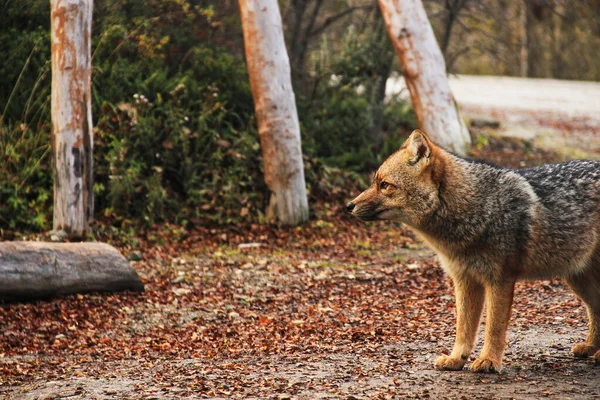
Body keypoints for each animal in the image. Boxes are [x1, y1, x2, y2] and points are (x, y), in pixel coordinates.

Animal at [346, 130, 600, 372]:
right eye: (375, 182)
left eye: (385, 185)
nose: (348, 206)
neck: (477, 208)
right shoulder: (465, 280)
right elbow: (464, 329)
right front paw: (456, 359)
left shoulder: (500, 280)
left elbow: (494, 328)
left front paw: (488, 360)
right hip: (576, 279)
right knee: (596, 309)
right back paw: (591, 348)